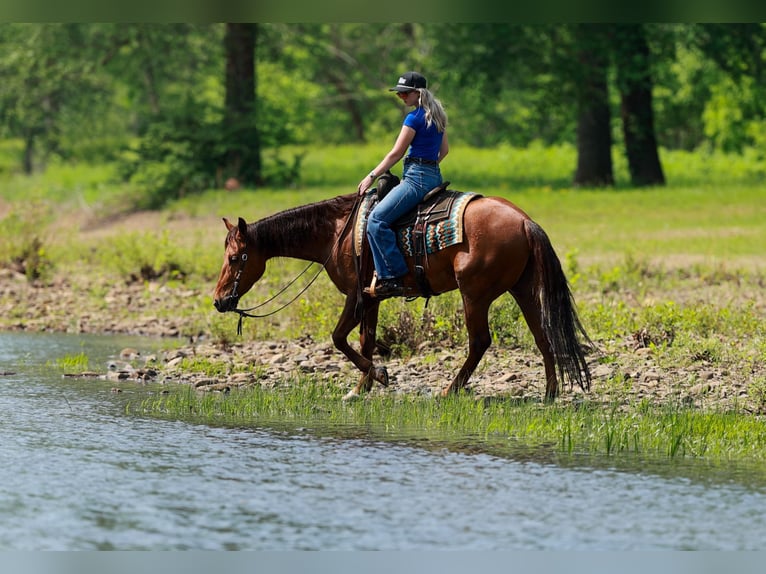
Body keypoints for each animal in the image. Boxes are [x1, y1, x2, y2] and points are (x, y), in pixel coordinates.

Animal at [212, 190, 592, 401]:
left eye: (234, 258)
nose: (218, 300)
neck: (338, 232)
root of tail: (525, 221)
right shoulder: (372, 298)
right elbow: (365, 341)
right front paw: (361, 388)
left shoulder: (356, 295)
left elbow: (339, 338)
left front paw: (378, 376)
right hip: (522, 289)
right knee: (543, 335)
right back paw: (549, 393)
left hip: (475, 294)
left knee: (480, 341)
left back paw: (449, 390)